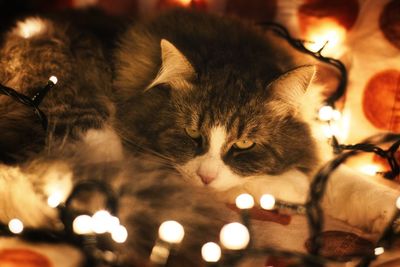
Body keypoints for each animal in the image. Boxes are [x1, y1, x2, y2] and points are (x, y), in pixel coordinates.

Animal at [0, 7, 398, 266]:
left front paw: (385, 211)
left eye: (244, 145)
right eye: (192, 134)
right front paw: (293, 187)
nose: (206, 176)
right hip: (90, 127)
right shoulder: (143, 152)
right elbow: (259, 184)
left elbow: (342, 180)